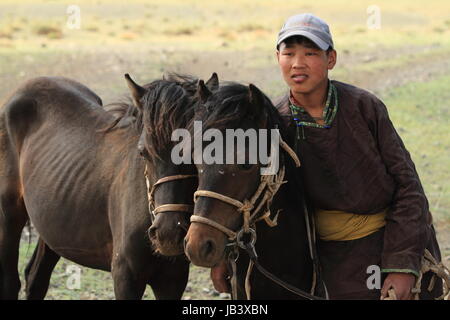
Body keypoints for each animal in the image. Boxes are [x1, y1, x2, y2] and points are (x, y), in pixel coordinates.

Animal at [0, 74, 210, 298]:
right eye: (143, 152)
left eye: (195, 153)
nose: (167, 233)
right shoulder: (126, 276)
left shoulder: (173, 280)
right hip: (9, 216)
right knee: (10, 282)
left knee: (36, 277)